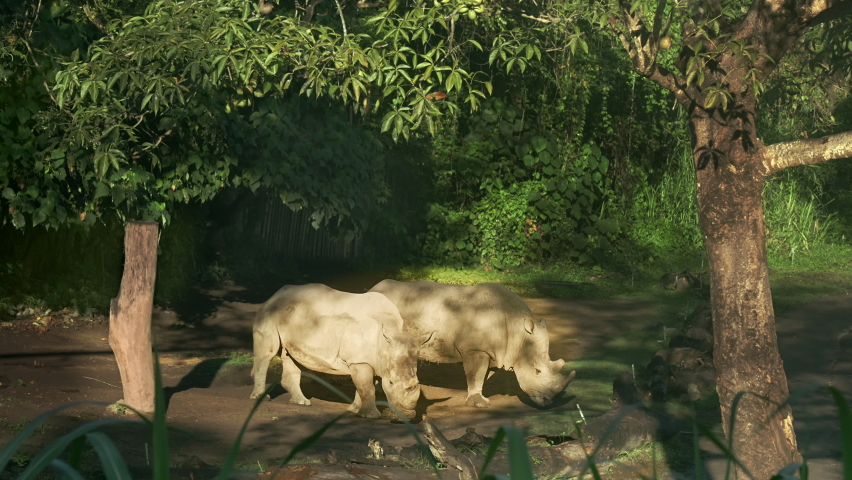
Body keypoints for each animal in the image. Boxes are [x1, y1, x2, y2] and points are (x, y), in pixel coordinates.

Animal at [250, 283, 421, 420]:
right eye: (391, 383)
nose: (406, 417)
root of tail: (275, 294)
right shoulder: (359, 360)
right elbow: (367, 387)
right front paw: (371, 416)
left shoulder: (374, 361)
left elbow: (363, 386)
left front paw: (354, 411)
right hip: (269, 312)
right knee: (267, 354)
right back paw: (261, 398)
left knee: (290, 356)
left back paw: (302, 402)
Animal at [369, 280, 575, 408]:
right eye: (537, 371)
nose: (548, 403)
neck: (517, 330)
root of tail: (372, 289)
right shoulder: (475, 350)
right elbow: (476, 374)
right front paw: (479, 404)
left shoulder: (491, 351)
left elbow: (482, 375)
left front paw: (481, 396)